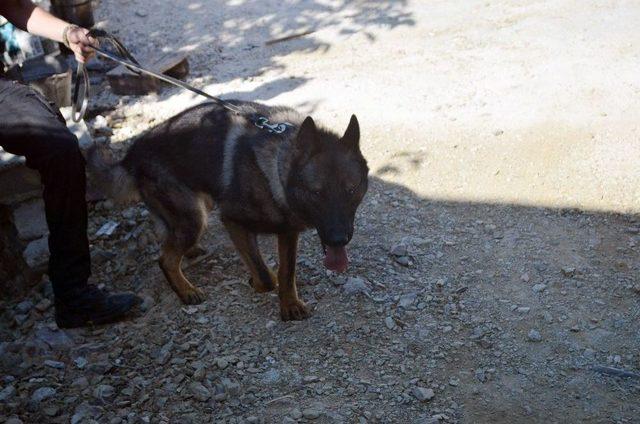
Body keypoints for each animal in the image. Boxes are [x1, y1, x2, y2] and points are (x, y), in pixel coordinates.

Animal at [90, 102, 370, 322]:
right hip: (194, 218)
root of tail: (130, 155)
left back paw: (190, 252)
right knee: (165, 258)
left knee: (169, 238)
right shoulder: (233, 221)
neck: (274, 170)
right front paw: (259, 281)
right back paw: (186, 291)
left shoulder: (288, 232)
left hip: (195, 209)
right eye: (316, 193)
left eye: (351, 189)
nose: (338, 240)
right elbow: (266, 276)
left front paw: (290, 305)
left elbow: (287, 271)